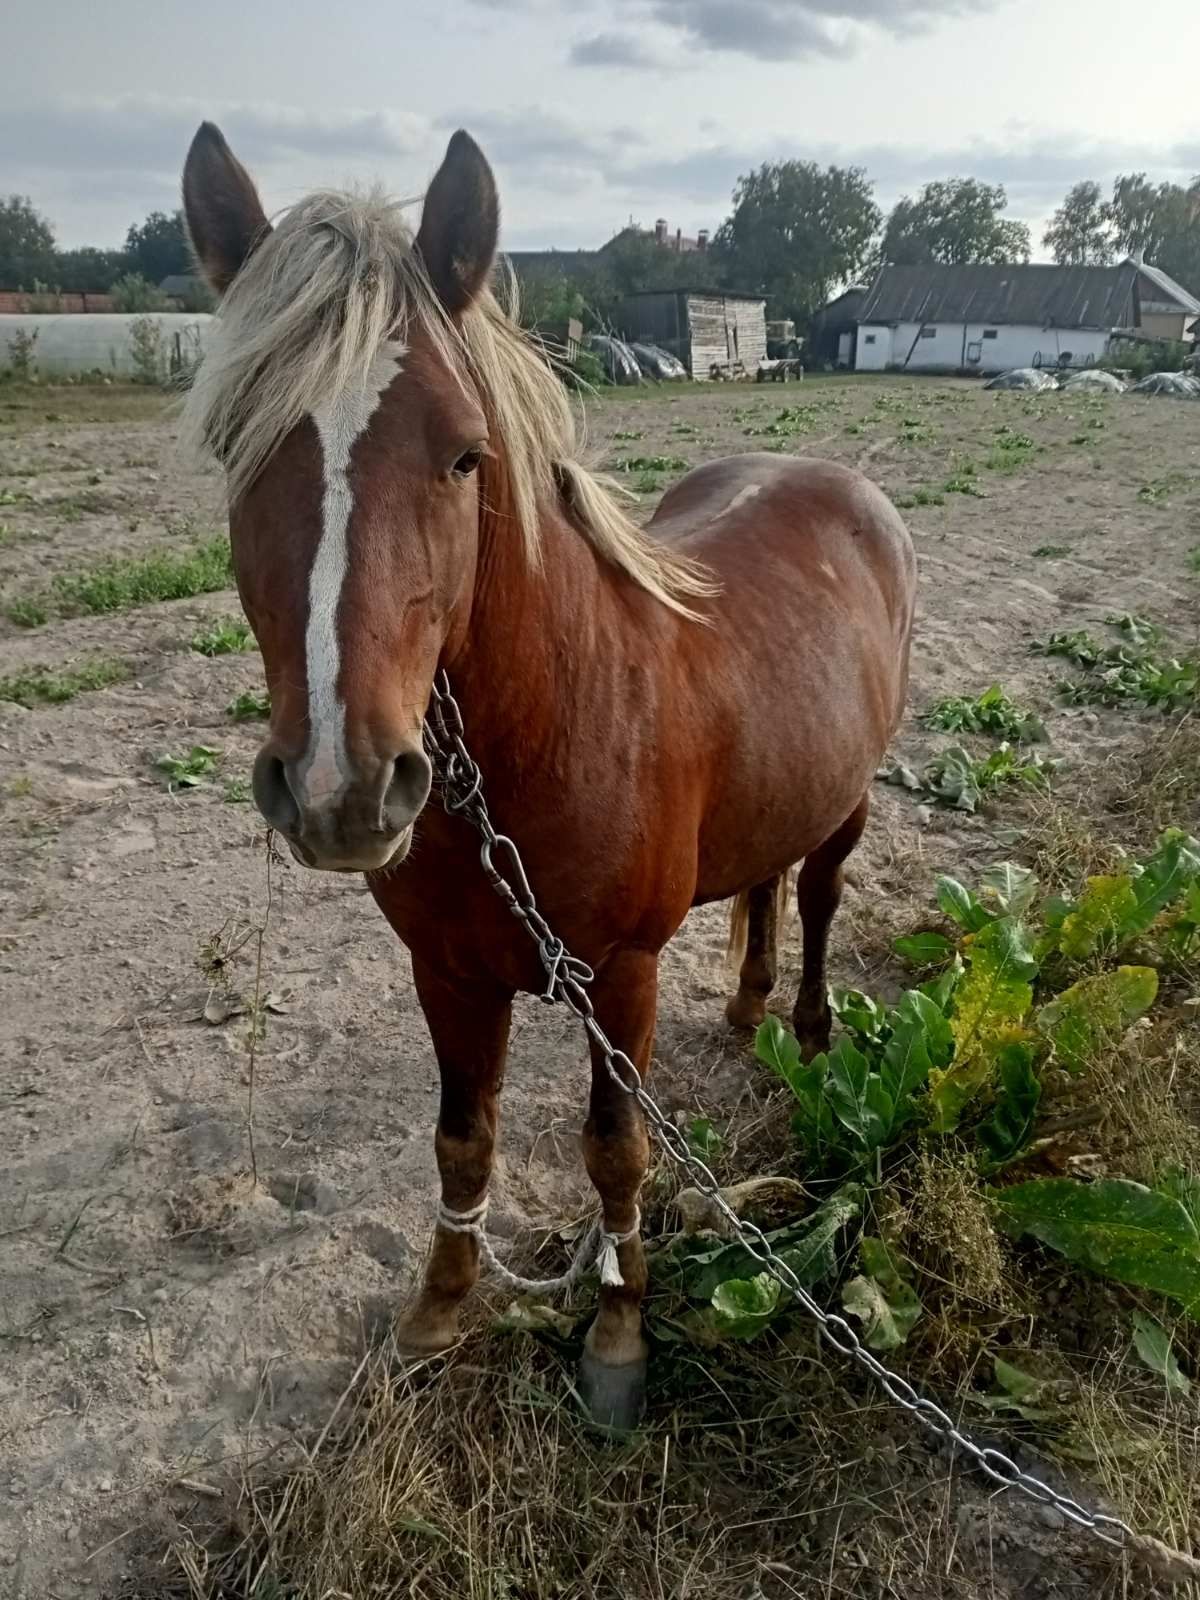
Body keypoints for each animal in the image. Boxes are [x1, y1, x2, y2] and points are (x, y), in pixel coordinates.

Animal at [178, 124, 915, 1427]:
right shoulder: (446, 973)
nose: (342, 786)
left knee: (822, 893)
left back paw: (813, 1025)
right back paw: (749, 1002)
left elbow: (615, 1149)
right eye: (237, 448)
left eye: (465, 454)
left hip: (849, 801)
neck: (545, 738)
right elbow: (460, 1142)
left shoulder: (621, 976)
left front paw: (617, 1333)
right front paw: (439, 1309)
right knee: (765, 880)